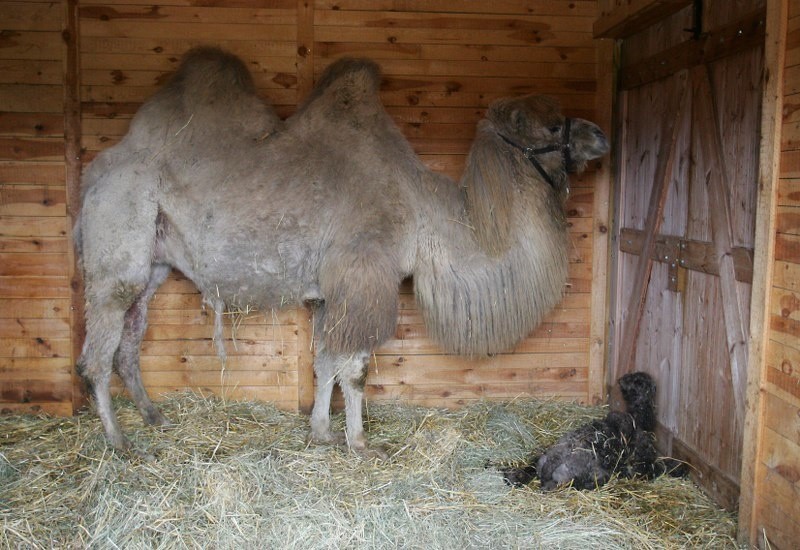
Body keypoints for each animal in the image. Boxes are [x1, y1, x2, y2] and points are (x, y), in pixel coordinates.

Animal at [75, 47, 608, 458]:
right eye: (554, 126)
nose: (602, 135)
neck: (424, 211)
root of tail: (96, 173)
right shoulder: (365, 273)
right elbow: (355, 369)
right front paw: (359, 443)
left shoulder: (334, 289)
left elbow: (325, 362)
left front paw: (321, 433)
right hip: (118, 235)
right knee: (97, 350)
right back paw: (118, 440)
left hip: (156, 261)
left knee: (131, 334)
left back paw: (153, 416)